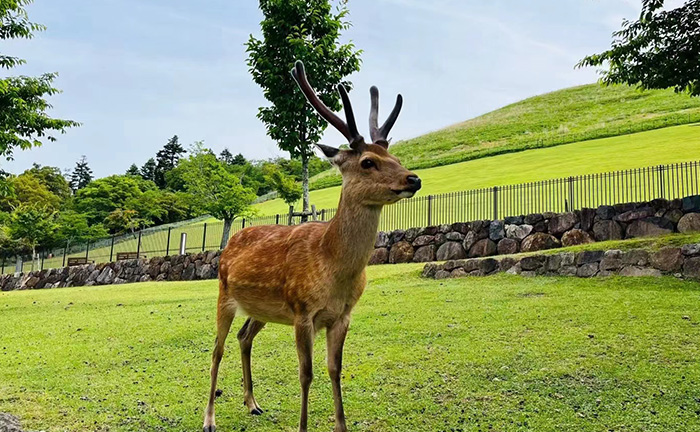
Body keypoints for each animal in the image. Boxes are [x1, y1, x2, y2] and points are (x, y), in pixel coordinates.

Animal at [202, 61, 422, 432]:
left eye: (392, 155)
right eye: (367, 161)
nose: (414, 178)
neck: (333, 267)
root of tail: (231, 242)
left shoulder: (342, 315)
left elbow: (334, 370)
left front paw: (342, 426)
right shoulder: (303, 311)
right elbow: (306, 374)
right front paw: (303, 425)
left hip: (262, 309)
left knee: (244, 337)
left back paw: (253, 404)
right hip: (224, 294)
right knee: (217, 349)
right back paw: (209, 419)